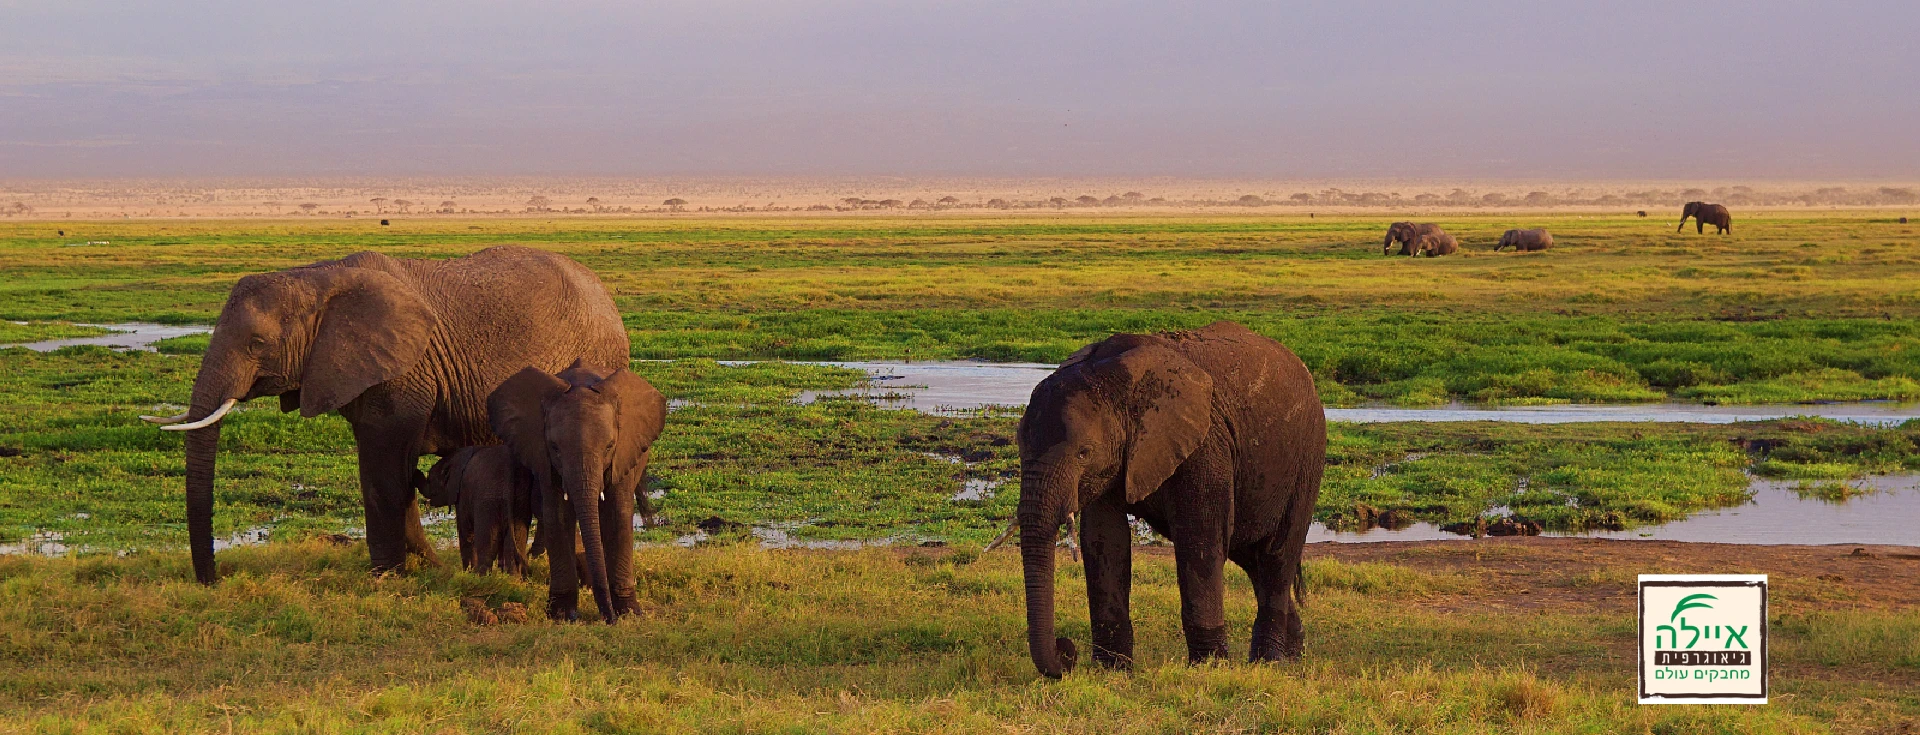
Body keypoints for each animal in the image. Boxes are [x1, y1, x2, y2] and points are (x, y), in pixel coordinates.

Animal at [424, 445, 533, 579]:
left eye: (429, 479)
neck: (453, 457)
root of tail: (509, 470)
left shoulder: (463, 494)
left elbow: (466, 532)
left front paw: (466, 574)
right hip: (520, 499)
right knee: (517, 539)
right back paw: (514, 580)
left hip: (487, 499)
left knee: (487, 545)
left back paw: (481, 578)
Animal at [487, 360, 668, 625]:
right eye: (554, 448)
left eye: (609, 446)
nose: (608, 619)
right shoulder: (543, 457)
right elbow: (557, 516)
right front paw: (562, 615)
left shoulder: (623, 453)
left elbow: (618, 515)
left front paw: (629, 613)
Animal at [1013, 322, 1328, 679]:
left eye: (1083, 453)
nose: (1067, 652)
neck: (1116, 380)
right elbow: (1105, 541)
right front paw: (1112, 671)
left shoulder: (1205, 443)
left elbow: (1199, 538)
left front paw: (1208, 667)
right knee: (1251, 557)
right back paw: (1294, 655)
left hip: (1306, 458)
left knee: (1277, 554)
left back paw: (1270, 663)